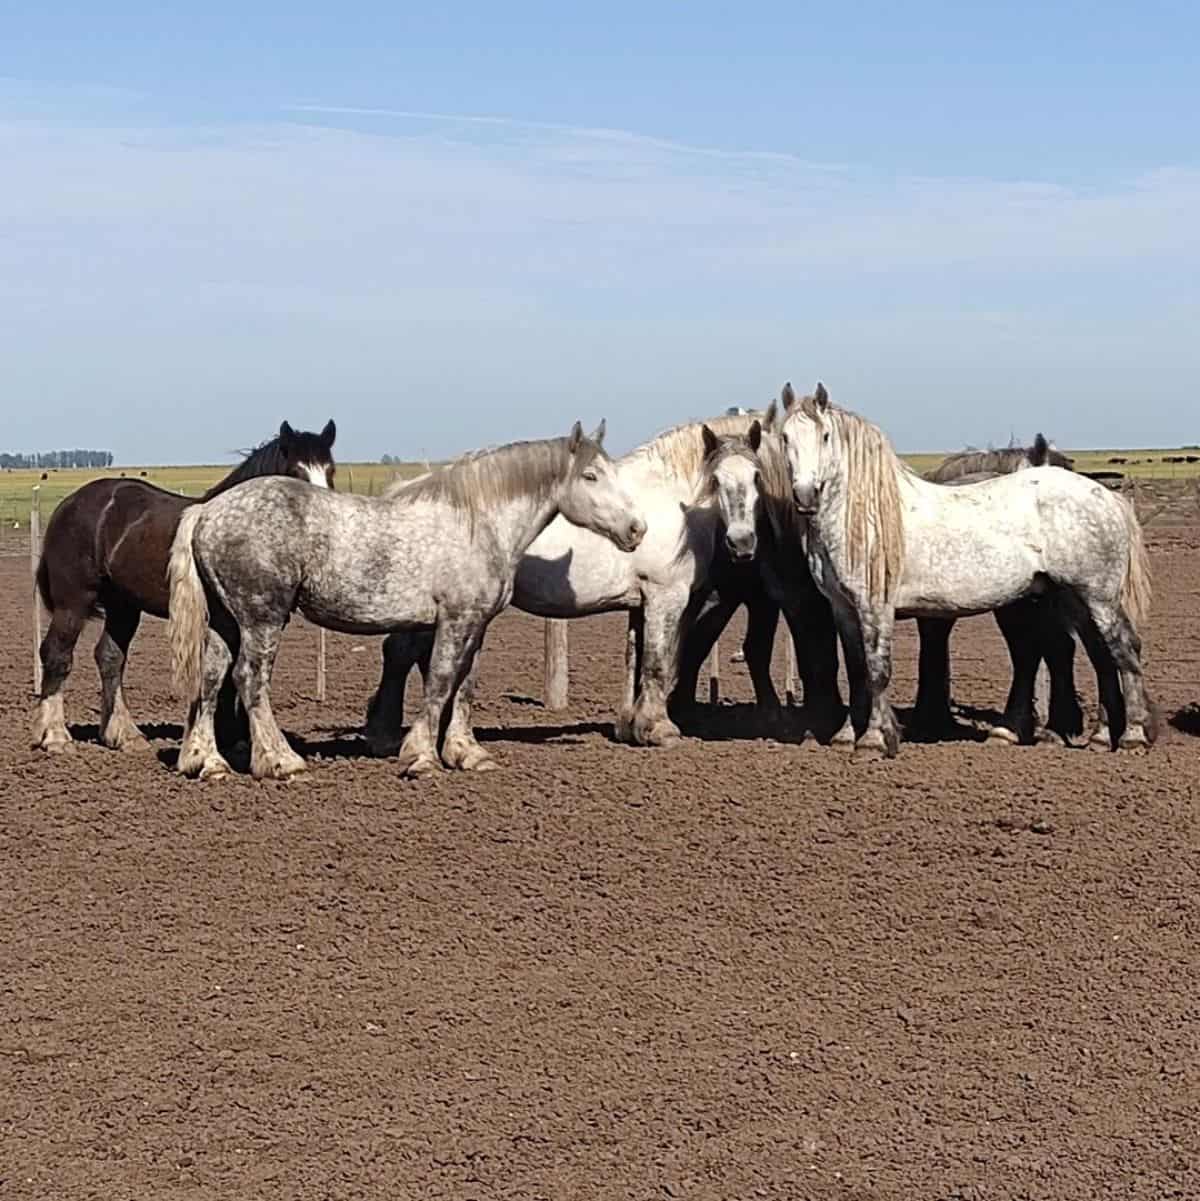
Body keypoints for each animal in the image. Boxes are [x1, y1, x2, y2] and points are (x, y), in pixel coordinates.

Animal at [35, 420, 336, 749]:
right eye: (295, 472)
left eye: (330, 470)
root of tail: (69, 504)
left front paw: (237, 738)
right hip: (74, 602)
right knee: (57, 655)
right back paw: (55, 736)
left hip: (123, 606)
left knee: (110, 658)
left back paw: (124, 734)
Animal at [166, 427, 648, 783]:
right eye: (590, 476)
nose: (637, 528)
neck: (478, 522)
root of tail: (207, 512)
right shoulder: (454, 620)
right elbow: (439, 681)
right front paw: (421, 757)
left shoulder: (477, 624)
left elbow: (465, 686)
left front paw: (467, 753)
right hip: (262, 619)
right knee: (250, 680)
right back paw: (280, 761)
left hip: (226, 622)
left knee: (211, 678)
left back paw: (207, 762)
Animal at [365, 413, 773, 749]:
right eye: (717, 479)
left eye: (757, 477)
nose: (742, 543)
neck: (672, 501)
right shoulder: (665, 597)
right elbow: (658, 662)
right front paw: (659, 730)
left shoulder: (639, 603)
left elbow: (634, 661)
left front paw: (629, 727)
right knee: (401, 653)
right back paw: (386, 735)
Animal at [778, 384, 1153, 759]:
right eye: (784, 436)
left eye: (825, 436)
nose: (806, 495)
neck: (866, 516)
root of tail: (1106, 497)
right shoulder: (842, 607)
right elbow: (856, 671)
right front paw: (846, 736)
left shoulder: (874, 607)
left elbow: (877, 669)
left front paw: (873, 740)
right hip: (1069, 598)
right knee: (1099, 656)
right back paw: (1099, 737)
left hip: (1097, 597)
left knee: (1124, 649)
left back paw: (1132, 736)